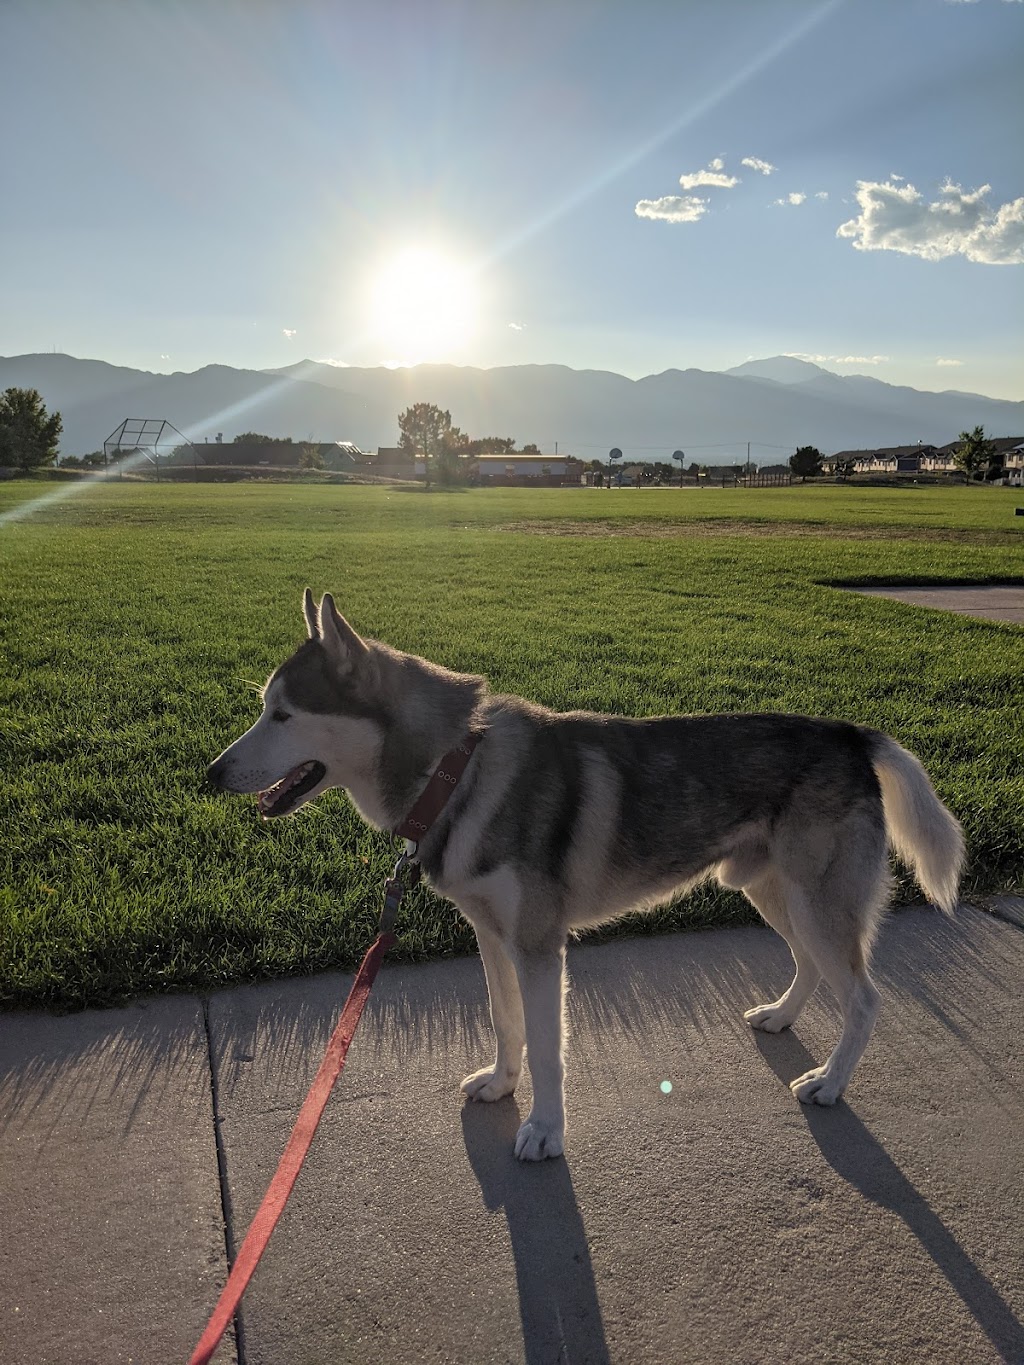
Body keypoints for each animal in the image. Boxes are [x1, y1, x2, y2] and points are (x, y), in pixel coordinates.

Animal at [210, 592, 972, 1157]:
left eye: (283, 714)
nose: (210, 772)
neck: (454, 768)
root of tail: (850, 733)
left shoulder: (540, 945)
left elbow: (549, 1047)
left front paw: (545, 1130)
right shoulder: (492, 935)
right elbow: (505, 1020)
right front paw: (502, 1082)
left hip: (816, 901)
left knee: (863, 998)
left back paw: (830, 1082)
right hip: (769, 890)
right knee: (810, 965)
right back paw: (783, 1016)